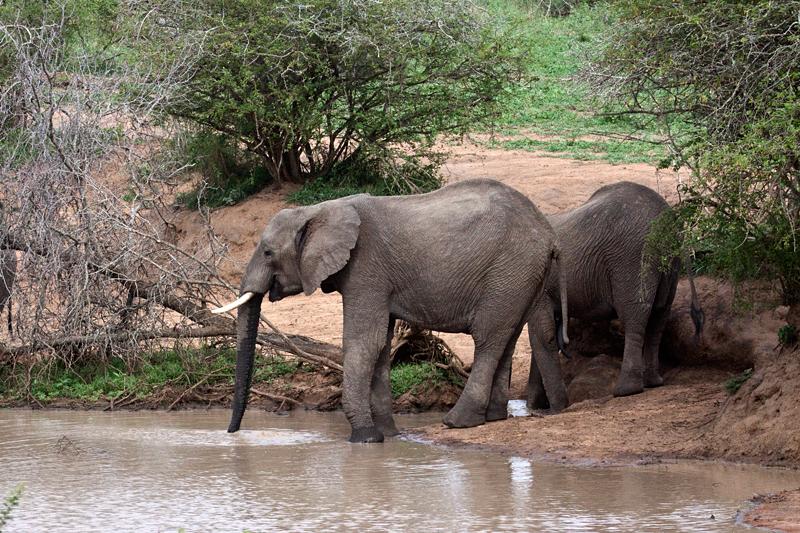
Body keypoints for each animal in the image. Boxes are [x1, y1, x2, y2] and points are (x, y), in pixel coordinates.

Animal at [211, 178, 564, 440]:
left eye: (268, 252)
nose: (231, 433)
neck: (320, 210)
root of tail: (549, 235)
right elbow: (381, 346)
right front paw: (388, 435)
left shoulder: (366, 268)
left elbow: (363, 343)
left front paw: (365, 438)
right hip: (523, 278)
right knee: (508, 338)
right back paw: (493, 419)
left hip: (510, 270)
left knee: (488, 338)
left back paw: (457, 422)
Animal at [528, 181, 704, 410]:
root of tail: (668, 218)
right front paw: (534, 405)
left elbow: (542, 334)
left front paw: (553, 408)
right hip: (667, 262)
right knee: (659, 316)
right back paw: (653, 382)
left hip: (631, 257)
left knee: (634, 315)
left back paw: (626, 390)